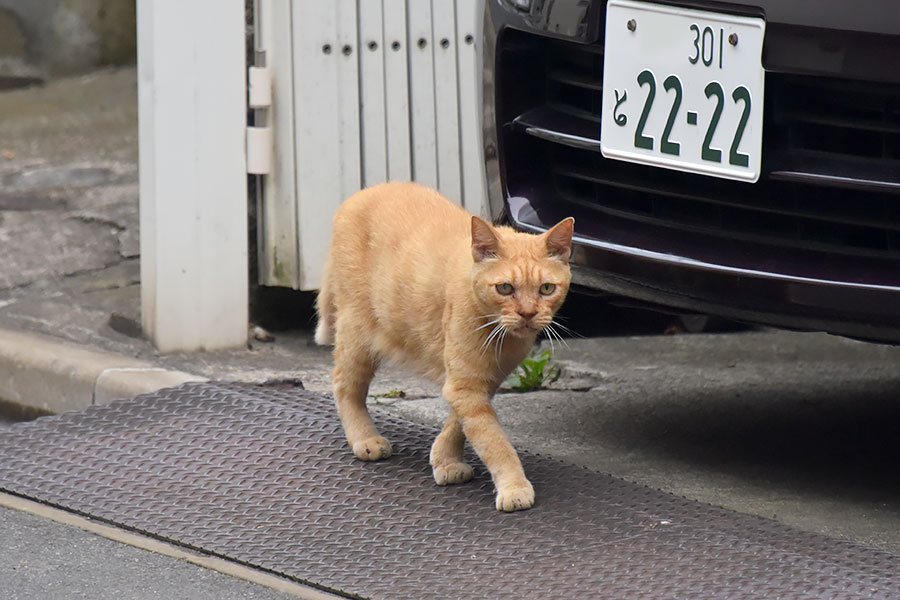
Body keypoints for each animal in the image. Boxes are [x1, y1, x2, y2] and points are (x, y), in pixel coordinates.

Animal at [314, 182, 568, 510]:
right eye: (505, 288)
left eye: (546, 289)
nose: (527, 314)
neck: (500, 336)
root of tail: (359, 194)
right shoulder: (466, 384)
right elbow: (494, 440)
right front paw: (514, 486)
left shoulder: (478, 381)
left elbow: (461, 423)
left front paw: (444, 458)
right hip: (358, 334)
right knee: (344, 385)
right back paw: (364, 439)